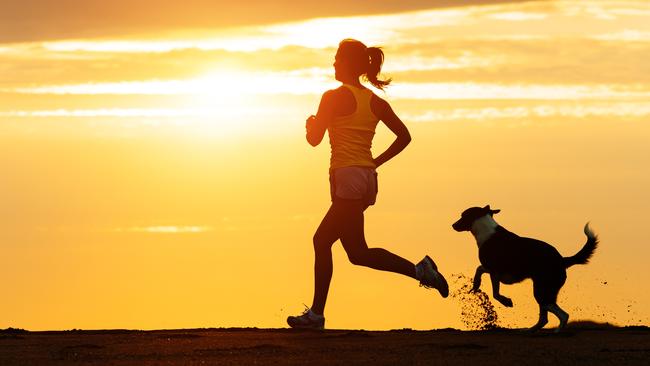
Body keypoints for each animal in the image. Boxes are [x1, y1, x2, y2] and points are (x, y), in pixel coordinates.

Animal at [450, 206, 596, 332]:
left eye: (463, 215)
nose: (452, 225)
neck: (486, 229)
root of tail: (563, 260)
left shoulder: (494, 271)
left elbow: (495, 293)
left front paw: (506, 301)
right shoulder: (492, 270)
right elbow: (479, 270)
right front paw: (476, 285)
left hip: (541, 291)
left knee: (562, 314)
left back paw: (556, 331)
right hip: (543, 291)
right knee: (545, 318)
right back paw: (530, 330)